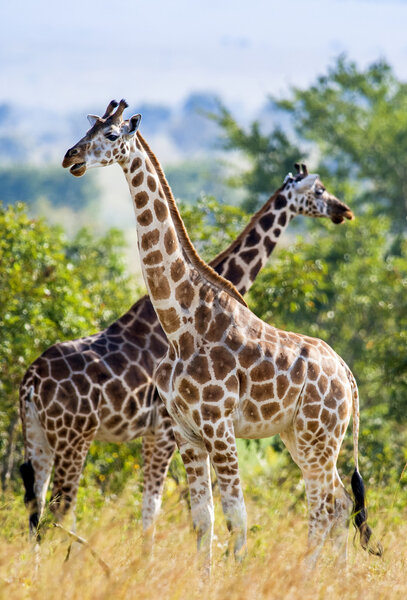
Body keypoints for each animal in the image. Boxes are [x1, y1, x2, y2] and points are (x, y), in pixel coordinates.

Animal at [59, 101, 382, 568]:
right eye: (90, 130)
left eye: (113, 135)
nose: (71, 157)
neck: (180, 324)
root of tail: (348, 375)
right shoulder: (185, 432)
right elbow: (203, 520)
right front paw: (204, 576)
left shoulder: (218, 426)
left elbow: (237, 518)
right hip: (302, 436)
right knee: (338, 503)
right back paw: (331, 578)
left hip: (318, 435)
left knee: (326, 506)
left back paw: (308, 576)